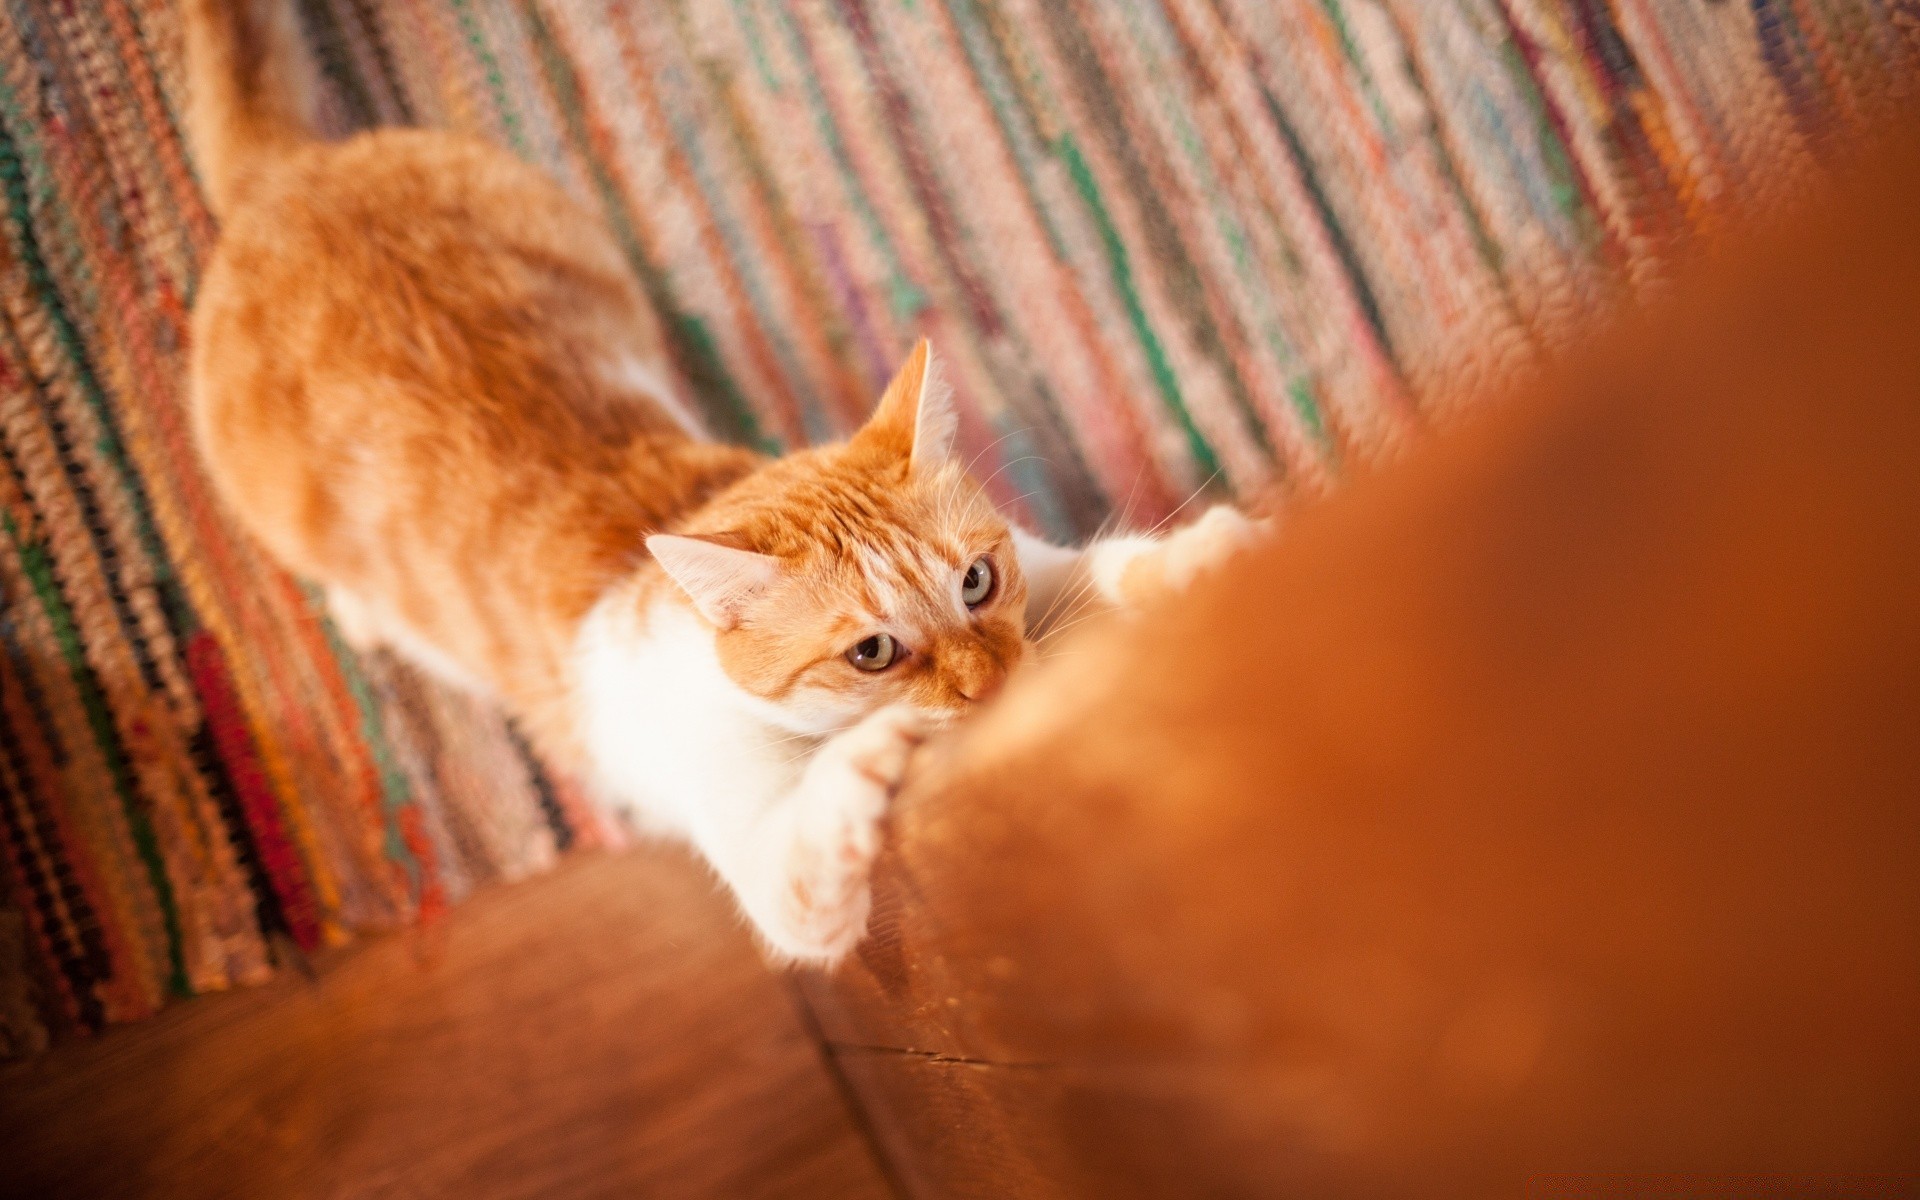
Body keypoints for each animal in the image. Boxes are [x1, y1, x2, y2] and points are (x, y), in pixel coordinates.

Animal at [183, 0, 1259, 960]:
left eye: (977, 582)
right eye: (872, 653)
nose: (992, 685)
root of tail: (289, 172)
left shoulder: (1044, 565)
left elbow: (1110, 566)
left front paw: (1207, 560)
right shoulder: (769, 867)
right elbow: (814, 839)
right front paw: (871, 754)